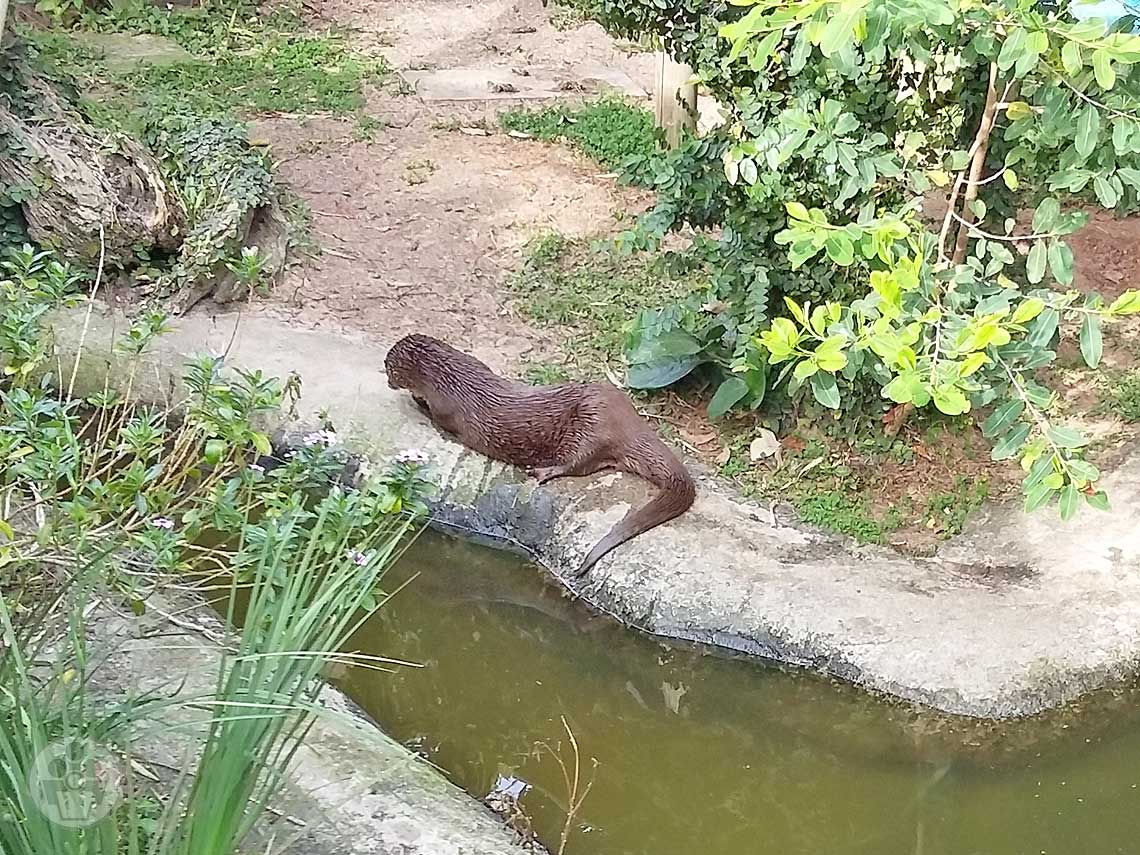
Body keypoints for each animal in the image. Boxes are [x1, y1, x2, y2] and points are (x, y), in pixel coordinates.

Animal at [387, 335, 693, 576]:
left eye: (389, 368)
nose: (387, 380)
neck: (447, 378)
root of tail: (629, 421)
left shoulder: (445, 407)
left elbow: (437, 417)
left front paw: (417, 400)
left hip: (589, 430)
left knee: (579, 463)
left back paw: (543, 470)